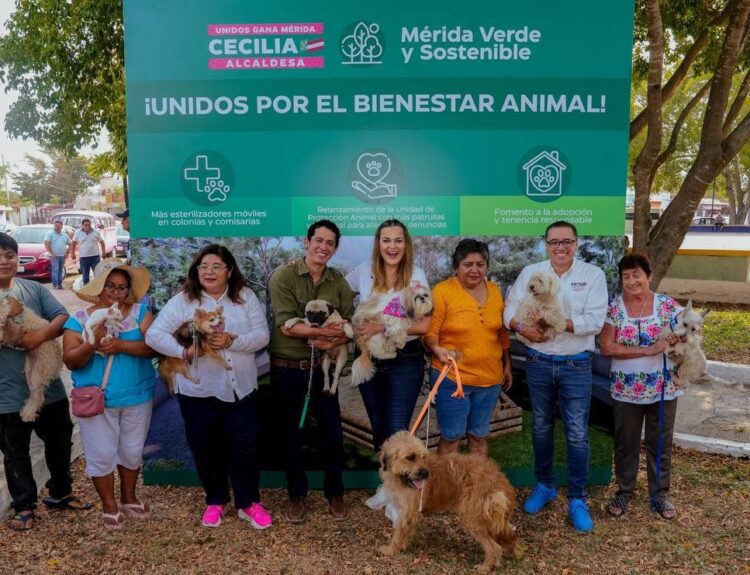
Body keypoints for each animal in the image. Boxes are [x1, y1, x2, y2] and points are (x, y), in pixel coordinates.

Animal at [378, 432, 520, 572]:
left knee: (494, 547)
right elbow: (406, 531)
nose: (426, 473)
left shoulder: (409, 512)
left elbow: (399, 532)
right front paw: (402, 546)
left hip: (474, 518)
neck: (400, 479)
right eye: (410, 457)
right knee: (509, 533)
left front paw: (391, 549)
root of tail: (498, 479)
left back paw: (486, 567)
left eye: (423, 457)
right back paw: (512, 551)